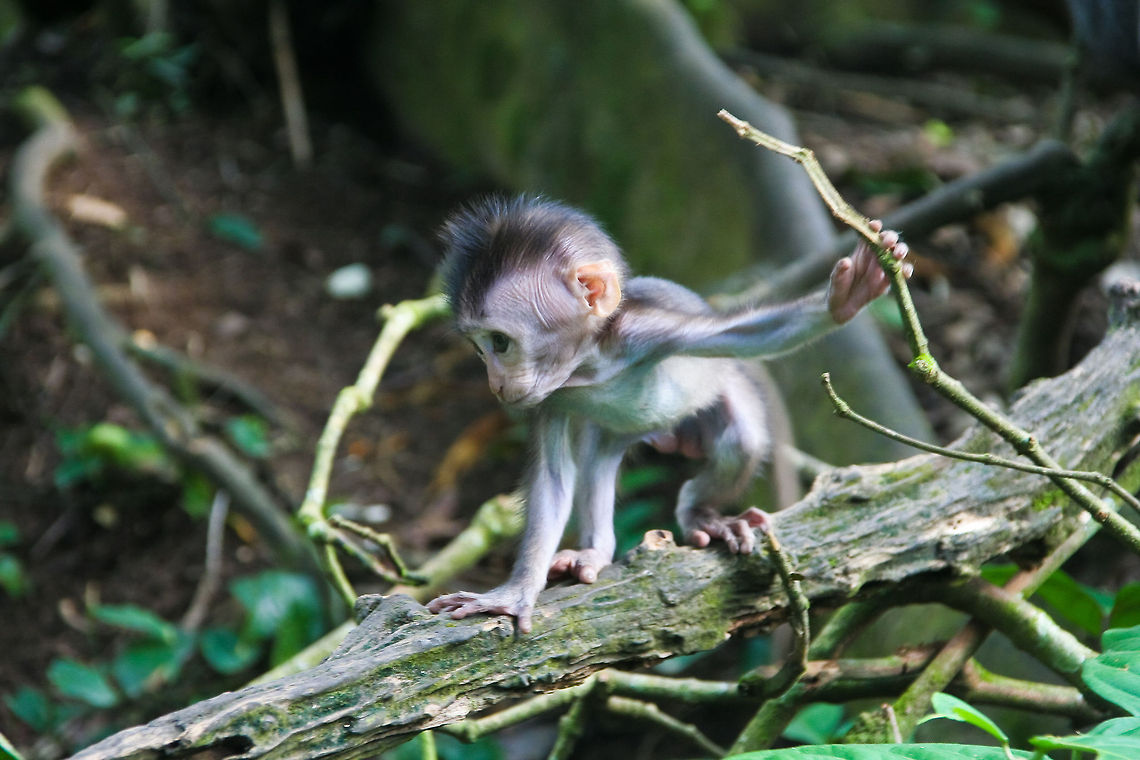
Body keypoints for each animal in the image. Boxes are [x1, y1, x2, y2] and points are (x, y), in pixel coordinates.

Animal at [427, 196, 910, 633]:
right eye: (479, 349)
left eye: (500, 342)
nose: (495, 383)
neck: (588, 366)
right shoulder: (548, 399)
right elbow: (553, 478)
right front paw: (515, 592)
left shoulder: (647, 334)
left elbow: (752, 333)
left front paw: (846, 298)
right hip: (618, 433)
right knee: (597, 460)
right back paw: (597, 551)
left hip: (721, 392)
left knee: (743, 439)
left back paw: (702, 514)